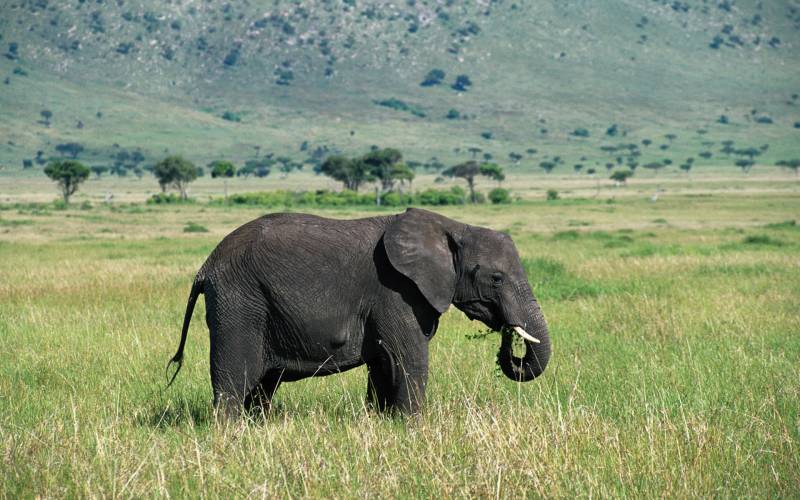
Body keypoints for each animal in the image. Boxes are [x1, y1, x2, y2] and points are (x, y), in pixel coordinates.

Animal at [162, 205, 552, 416]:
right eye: (496, 279)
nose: (507, 336)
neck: (452, 226)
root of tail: (205, 266)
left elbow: (383, 364)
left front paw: (384, 423)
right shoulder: (395, 291)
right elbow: (409, 359)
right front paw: (414, 428)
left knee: (262, 386)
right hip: (239, 302)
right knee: (234, 379)